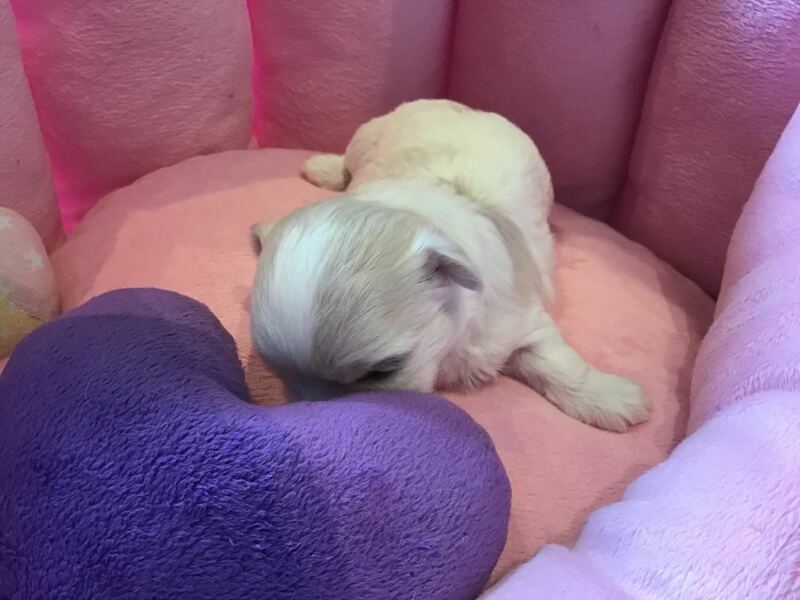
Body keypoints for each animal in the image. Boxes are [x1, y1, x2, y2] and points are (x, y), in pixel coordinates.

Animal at [250, 99, 650, 431]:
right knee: (346, 163)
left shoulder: (519, 320)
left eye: (382, 371)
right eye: (278, 374)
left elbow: (557, 363)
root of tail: (460, 106)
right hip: (366, 135)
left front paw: (610, 398)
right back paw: (322, 167)